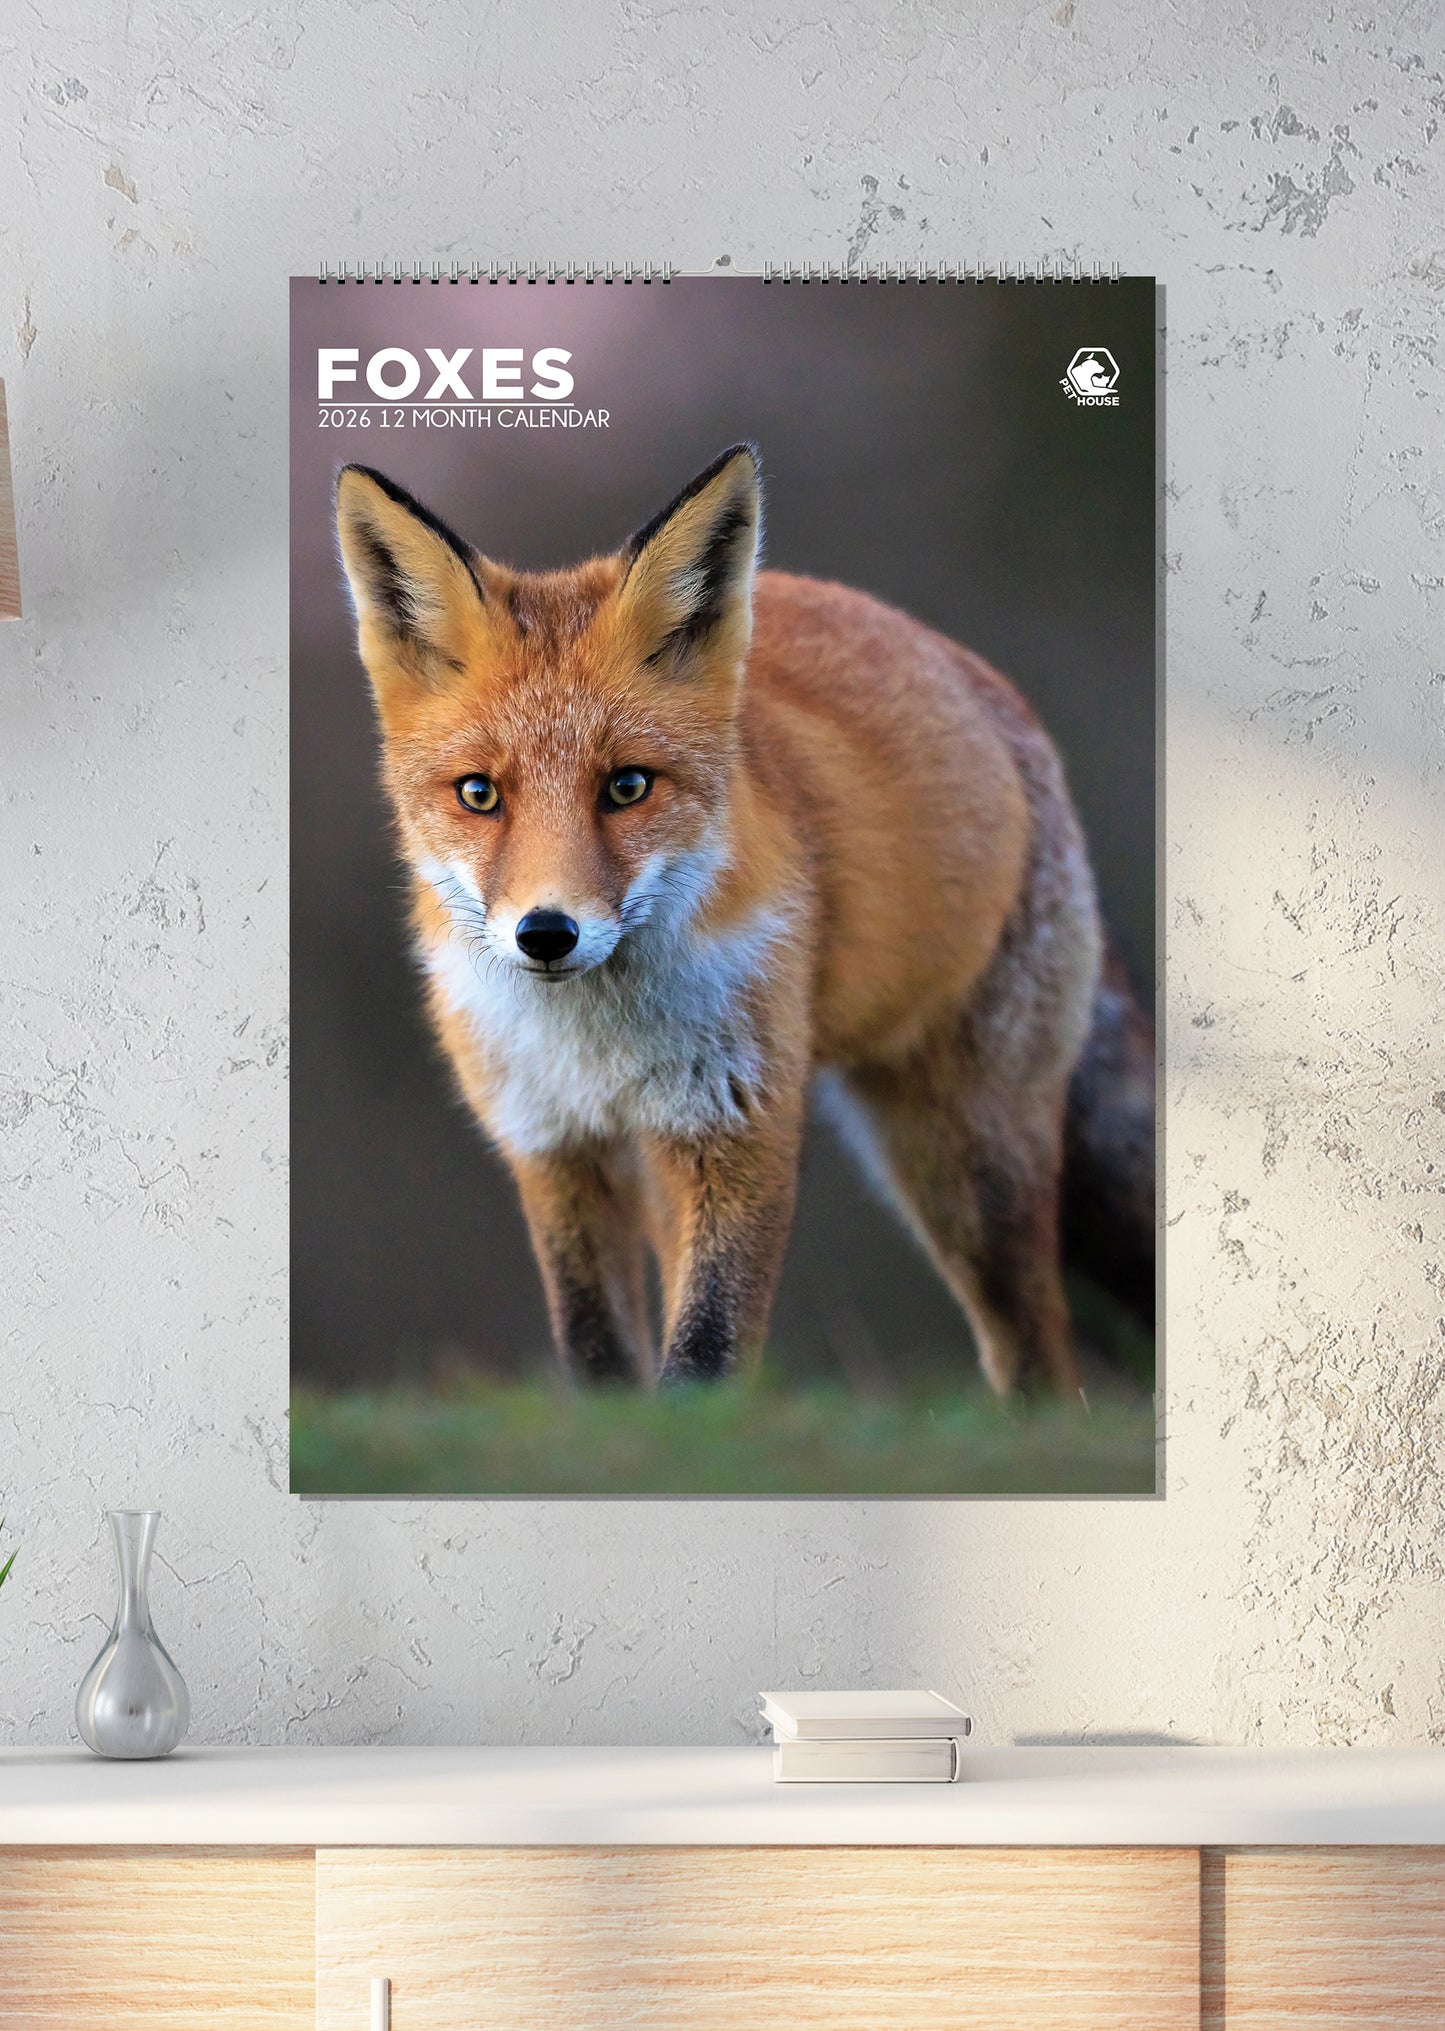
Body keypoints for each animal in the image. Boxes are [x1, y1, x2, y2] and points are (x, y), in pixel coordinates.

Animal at [334, 446, 1155, 1397]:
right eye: (478, 794)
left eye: (627, 786)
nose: (546, 933)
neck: (597, 1043)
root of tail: (976, 675)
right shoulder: (551, 1142)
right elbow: (597, 1351)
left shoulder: (736, 1122)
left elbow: (706, 1353)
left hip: (967, 1163)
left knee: (1037, 1352)